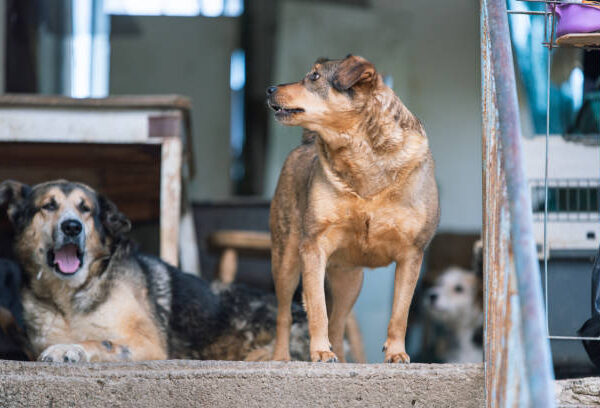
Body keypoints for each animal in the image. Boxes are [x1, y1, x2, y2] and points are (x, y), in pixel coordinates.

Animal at [0, 180, 310, 362]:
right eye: (48, 206)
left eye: (85, 209)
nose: (72, 227)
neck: (71, 298)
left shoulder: (148, 345)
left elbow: (101, 342)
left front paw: (70, 349)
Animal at [270, 55, 438, 364]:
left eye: (314, 77)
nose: (269, 89)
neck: (357, 150)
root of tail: (306, 143)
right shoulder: (312, 246)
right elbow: (317, 310)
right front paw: (319, 351)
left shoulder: (412, 253)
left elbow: (400, 313)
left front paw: (396, 353)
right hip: (285, 258)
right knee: (285, 314)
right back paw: (281, 357)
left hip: (350, 278)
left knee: (338, 325)